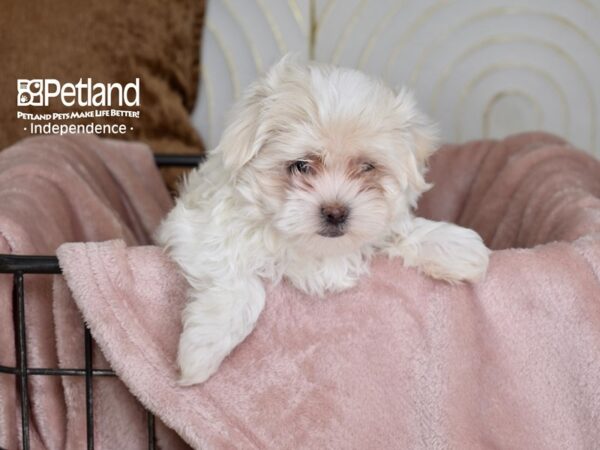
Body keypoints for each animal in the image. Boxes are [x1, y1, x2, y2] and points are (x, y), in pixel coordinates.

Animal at [157, 58, 490, 384]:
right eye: (302, 166)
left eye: (367, 167)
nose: (335, 212)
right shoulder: (198, 228)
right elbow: (239, 283)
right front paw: (202, 351)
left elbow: (399, 231)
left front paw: (458, 249)